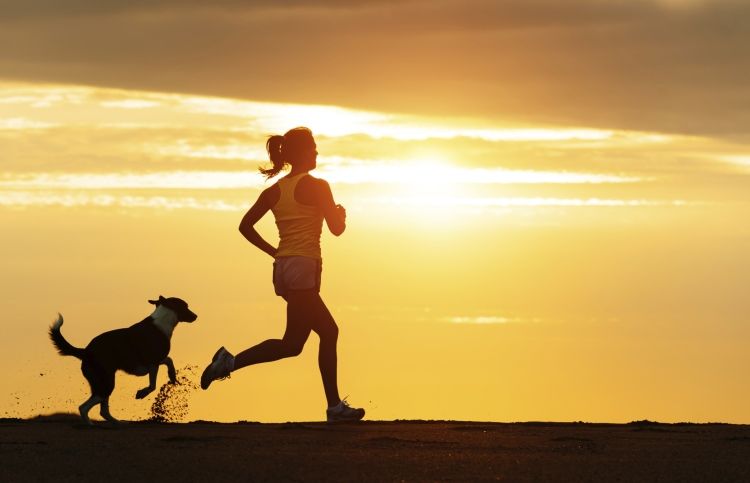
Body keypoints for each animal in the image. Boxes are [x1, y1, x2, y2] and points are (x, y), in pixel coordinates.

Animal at [48, 296, 197, 426]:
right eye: (185, 306)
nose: (196, 316)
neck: (162, 320)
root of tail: (85, 351)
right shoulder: (152, 363)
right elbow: (152, 385)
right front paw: (142, 393)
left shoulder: (155, 362)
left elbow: (169, 361)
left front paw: (172, 376)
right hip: (106, 383)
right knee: (84, 407)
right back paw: (91, 425)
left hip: (103, 383)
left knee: (102, 410)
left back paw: (118, 423)